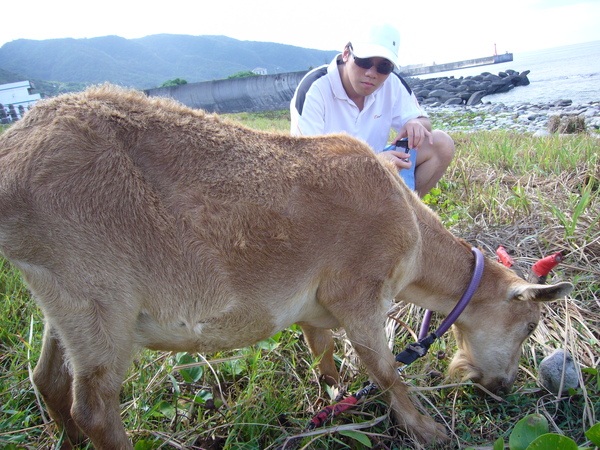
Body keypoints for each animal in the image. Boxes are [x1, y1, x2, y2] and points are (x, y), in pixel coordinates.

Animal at [0, 83, 572, 446]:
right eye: (531, 324)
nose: (502, 386)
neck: (409, 226)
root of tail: (12, 156)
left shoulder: (316, 307)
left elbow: (323, 351)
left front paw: (335, 395)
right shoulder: (359, 290)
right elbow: (387, 370)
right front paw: (427, 430)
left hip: (62, 299)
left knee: (48, 379)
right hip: (100, 295)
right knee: (95, 408)